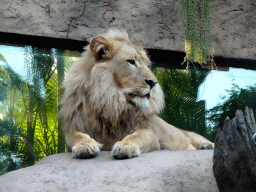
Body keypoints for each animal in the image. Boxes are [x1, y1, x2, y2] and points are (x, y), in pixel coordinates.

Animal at [60, 29, 214, 160]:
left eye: (148, 66)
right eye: (131, 62)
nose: (153, 83)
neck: (111, 103)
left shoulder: (152, 135)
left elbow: (139, 135)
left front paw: (125, 146)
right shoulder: (76, 127)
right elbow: (75, 135)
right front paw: (85, 145)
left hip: (189, 134)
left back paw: (207, 146)